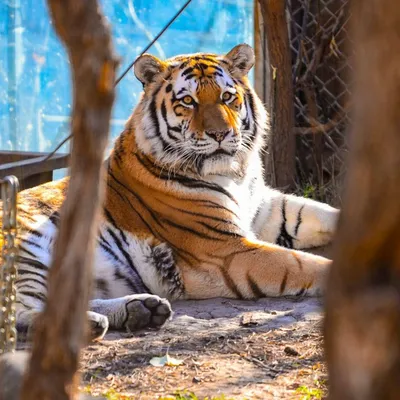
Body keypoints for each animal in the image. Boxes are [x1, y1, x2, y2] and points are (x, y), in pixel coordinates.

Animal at [6, 45, 338, 340]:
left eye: (227, 97)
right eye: (188, 101)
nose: (220, 134)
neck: (234, 175)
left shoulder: (266, 208)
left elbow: (323, 213)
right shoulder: (225, 249)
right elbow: (299, 263)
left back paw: (141, 310)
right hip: (28, 255)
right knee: (17, 313)